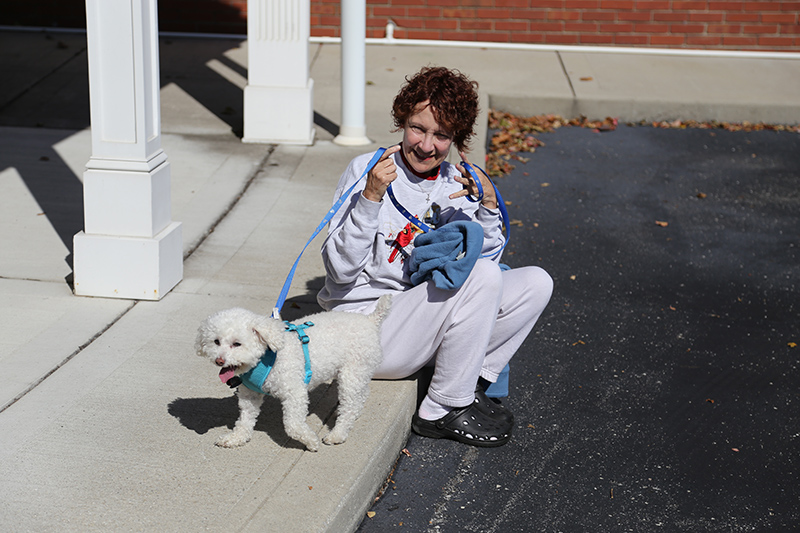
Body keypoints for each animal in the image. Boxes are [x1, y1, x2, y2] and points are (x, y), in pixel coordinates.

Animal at [197, 294, 390, 450]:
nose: (219, 361)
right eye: (216, 341)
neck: (266, 357)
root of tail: (370, 320)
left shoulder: (295, 393)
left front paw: (310, 441)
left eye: (237, 344)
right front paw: (236, 438)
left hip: (352, 373)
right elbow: (244, 420)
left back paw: (337, 434)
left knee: (350, 405)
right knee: (359, 398)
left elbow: (292, 425)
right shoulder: (250, 395)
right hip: (359, 373)